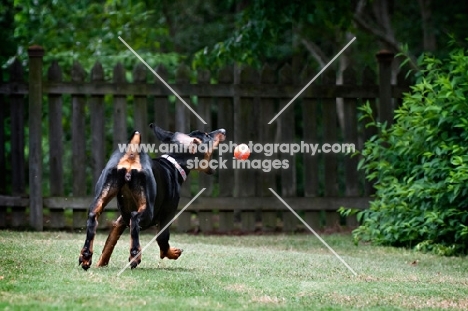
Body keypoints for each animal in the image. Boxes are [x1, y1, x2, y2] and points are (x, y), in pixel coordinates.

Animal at [79, 123, 226, 270]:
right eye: (207, 135)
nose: (223, 130)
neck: (174, 165)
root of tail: (132, 155)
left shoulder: (121, 220)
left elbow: (110, 241)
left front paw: (100, 263)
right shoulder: (167, 215)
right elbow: (162, 239)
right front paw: (173, 253)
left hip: (101, 196)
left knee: (93, 217)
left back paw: (86, 255)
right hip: (148, 211)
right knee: (135, 218)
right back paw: (135, 255)